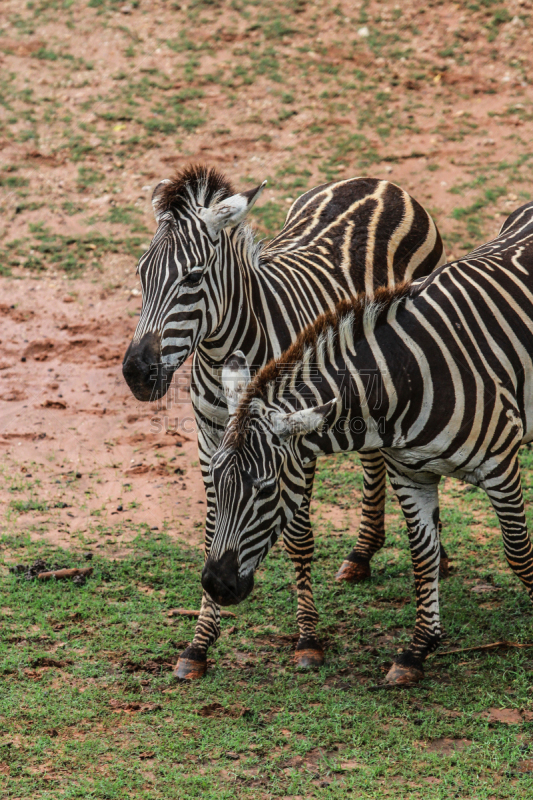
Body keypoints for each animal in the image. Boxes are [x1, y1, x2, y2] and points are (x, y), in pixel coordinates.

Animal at [122, 166, 446, 680]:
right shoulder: (211, 439)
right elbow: (214, 527)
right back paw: (363, 553)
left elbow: (298, 536)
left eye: (193, 277)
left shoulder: (292, 439)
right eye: (141, 273)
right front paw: (199, 645)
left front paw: (308, 640)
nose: (137, 373)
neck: (223, 351)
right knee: (374, 454)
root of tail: (374, 180)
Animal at [205, 203, 533, 684]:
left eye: (265, 490)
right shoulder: (410, 473)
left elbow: (518, 553)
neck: (407, 377)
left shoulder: (500, 468)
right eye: (213, 482)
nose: (213, 584)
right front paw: (417, 651)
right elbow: (423, 559)